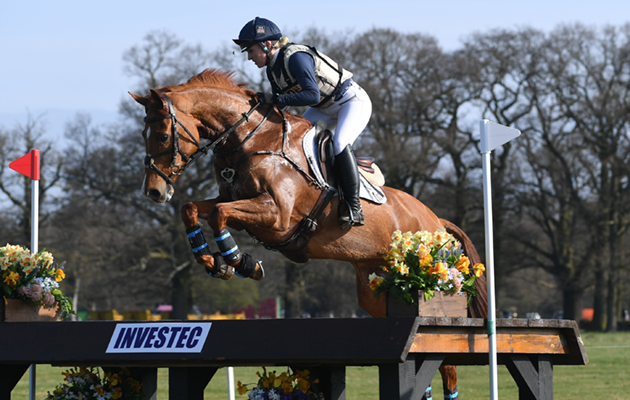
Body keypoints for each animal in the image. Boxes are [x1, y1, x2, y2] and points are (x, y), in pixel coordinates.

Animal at [130, 68, 487, 399]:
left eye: (162, 134)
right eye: (145, 134)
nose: (154, 191)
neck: (250, 140)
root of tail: (437, 220)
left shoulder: (277, 217)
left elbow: (219, 215)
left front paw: (241, 262)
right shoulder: (234, 203)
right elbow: (191, 208)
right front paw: (212, 261)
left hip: (427, 285)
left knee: (446, 363)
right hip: (378, 290)